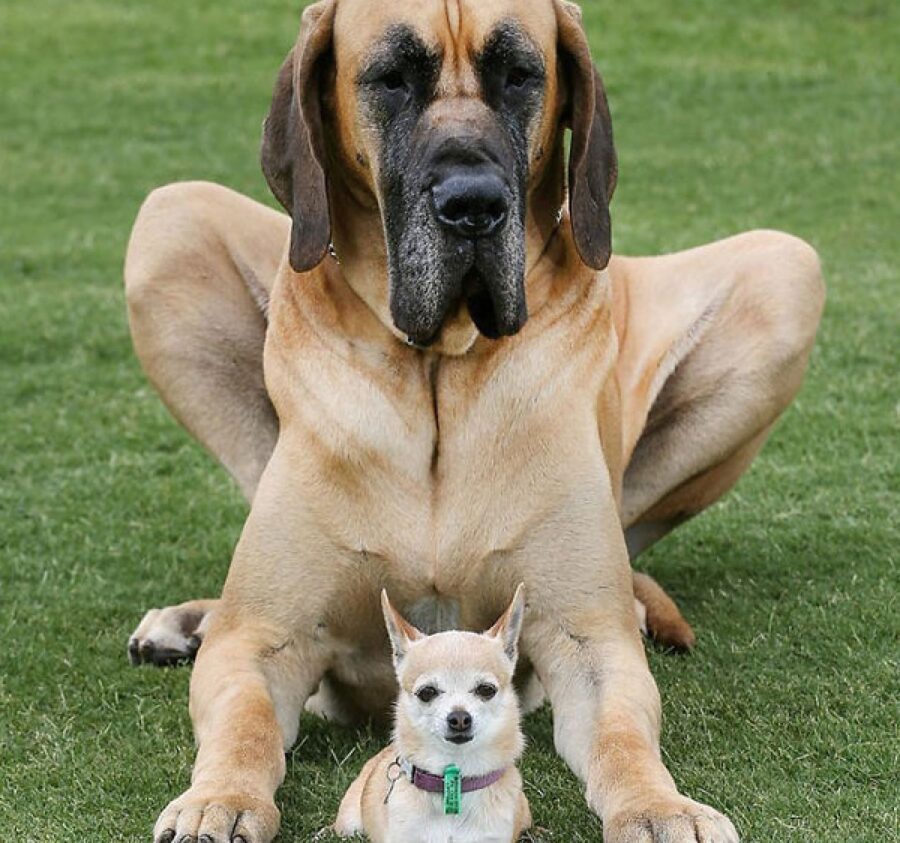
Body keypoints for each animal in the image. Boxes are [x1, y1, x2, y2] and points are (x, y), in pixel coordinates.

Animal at [125, 1, 824, 843]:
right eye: (392, 78)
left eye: (520, 75)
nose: (473, 205)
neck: (438, 365)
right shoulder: (262, 638)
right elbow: (245, 723)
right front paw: (218, 797)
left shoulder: (586, 636)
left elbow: (623, 732)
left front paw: (660, 806)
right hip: (169, 221)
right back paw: (190, 621)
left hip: (785, 271)